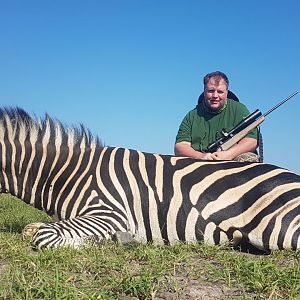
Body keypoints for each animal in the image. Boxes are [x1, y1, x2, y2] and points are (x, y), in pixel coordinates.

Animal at [0, 106, 298, 250]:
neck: (71, 172)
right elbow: (33, 229)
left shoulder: (110, 213)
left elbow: (44, 236)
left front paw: (114, 240)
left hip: (281, 230)